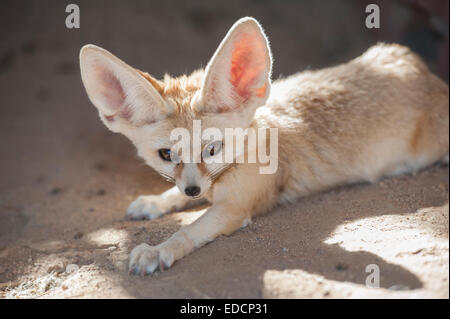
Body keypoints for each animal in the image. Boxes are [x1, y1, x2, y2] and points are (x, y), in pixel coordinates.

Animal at [79, 16, 448, 276]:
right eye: (166, 155)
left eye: (213, 149)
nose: (194, 191)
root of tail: (426, 74)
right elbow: (174, 194)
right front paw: (156, 202)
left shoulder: (234, 208)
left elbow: (189, 230)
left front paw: (159, 249)